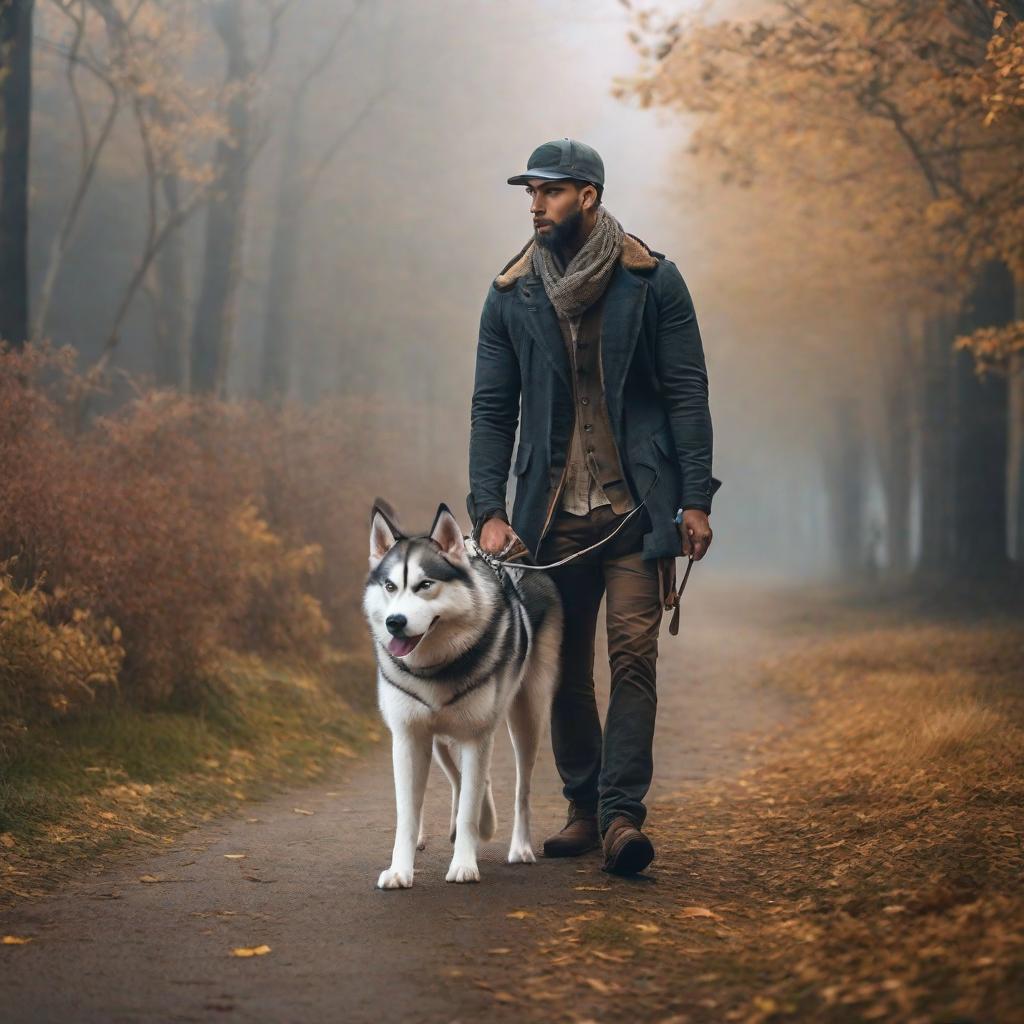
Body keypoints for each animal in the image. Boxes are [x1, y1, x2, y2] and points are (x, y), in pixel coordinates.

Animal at [362, 499, 569, 884]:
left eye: (425, 585)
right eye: (389, 586)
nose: (394, 622)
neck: (434, 668)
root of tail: (520, 561)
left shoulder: (476, 735)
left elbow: (471, 802)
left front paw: (463, 863)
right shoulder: (408, 734)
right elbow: (408, 811)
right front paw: (400, 869)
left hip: (527, 714)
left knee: (521, 788)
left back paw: (519, 847)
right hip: (439, 737)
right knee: (457, 778)